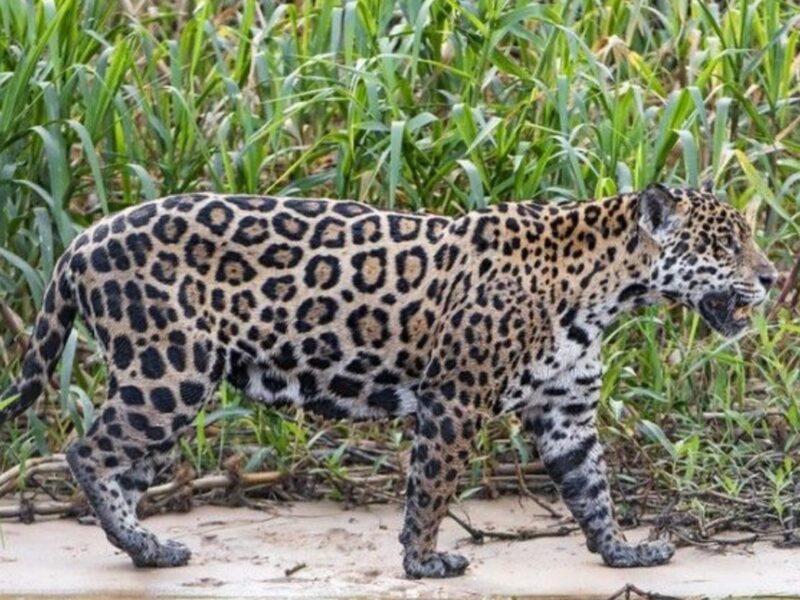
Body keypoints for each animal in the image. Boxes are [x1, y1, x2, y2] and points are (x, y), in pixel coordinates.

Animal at [0, 183, 776, 578]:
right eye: (724, 243)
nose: (773, 277)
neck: (607, 290)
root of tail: (81, 240)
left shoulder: (567, 410)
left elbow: (592, 486)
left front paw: (622, 551)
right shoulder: (456, 399)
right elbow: (430, 488)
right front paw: (423, 560)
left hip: (168, 385)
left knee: (123, 469)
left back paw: (147, 549)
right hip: (169, 370)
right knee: (87, 452)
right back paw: (139, 543)